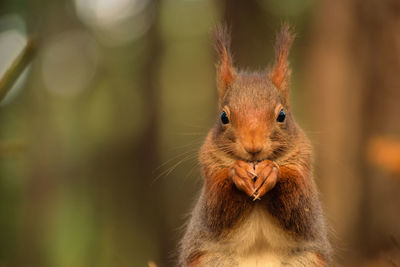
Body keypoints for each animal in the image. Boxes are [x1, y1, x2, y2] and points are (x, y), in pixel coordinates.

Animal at [178, 24, 332, 266]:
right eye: (223, 117)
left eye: (282, 115)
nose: (253, 146)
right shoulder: (210, 173)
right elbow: (216, 210)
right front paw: (238, 172)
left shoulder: (303, 168)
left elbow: (299, 208)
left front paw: (271, 170)